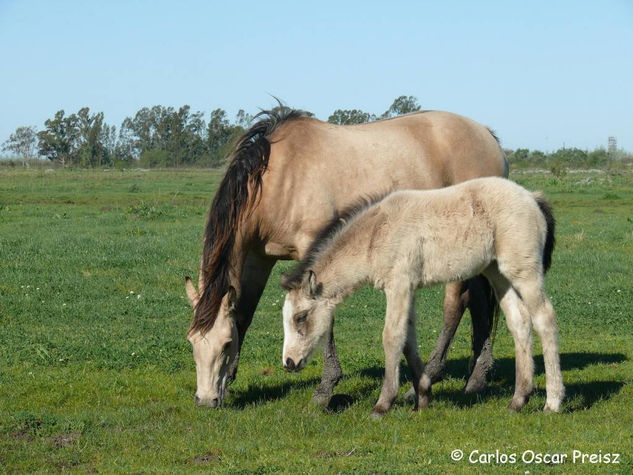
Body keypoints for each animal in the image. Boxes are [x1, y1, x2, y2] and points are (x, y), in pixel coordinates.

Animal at [184, 106, 508, 408]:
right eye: (192, 343)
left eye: (225, 344)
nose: (205, 400)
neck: (280, 177)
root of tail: (487, 136)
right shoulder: (258, 258)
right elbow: (244, 314)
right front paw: (231, 381)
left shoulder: (311, 248)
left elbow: (323, 319)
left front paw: (325, 388)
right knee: (480, 303)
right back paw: (475, 379)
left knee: (455, 306)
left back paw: (433, 377)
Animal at [282, 177, 564, 418]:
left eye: (301, 317)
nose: (289, 362)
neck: (377, 231)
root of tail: (532, 197)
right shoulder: (410, 288)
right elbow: (408, 341)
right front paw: (423, 397)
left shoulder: (398, 284)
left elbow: (392, 337)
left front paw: (383, 404)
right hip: (498, 274)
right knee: (520, 322)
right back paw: (519, 400)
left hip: (523, 271)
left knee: (545, 318)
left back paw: (553, 402)